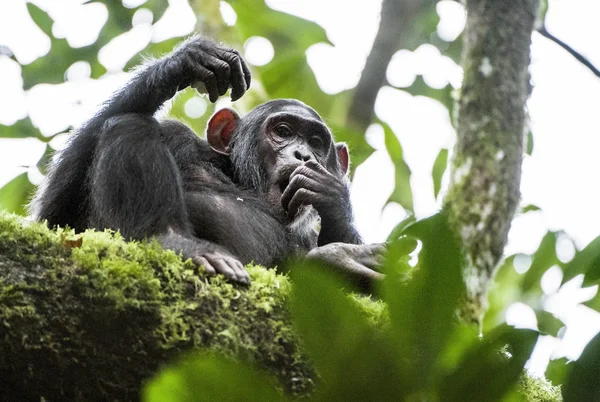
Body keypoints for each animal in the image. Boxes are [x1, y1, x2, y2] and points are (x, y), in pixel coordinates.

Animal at [30, 35, 382, 286]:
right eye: (283, 131)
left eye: (316, 142)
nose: (303, 154)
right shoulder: (177, 138)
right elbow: (57, 219)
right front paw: (182, 64)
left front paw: (333, 198)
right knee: (126, 124)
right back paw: (171, 240)